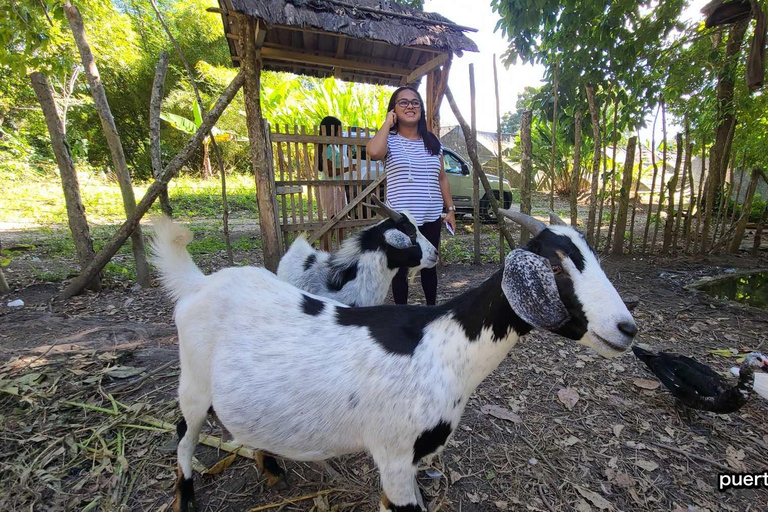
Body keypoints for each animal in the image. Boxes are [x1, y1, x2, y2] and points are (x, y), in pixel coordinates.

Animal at [150, 209, 636, 512]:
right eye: (555, 268)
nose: (627, 329)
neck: (443, 344)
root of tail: (197, 284)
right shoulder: (396, 452)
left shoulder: (410, 460)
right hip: (193, 382)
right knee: (183, 433)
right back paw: (186, 497)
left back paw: (271, 468)